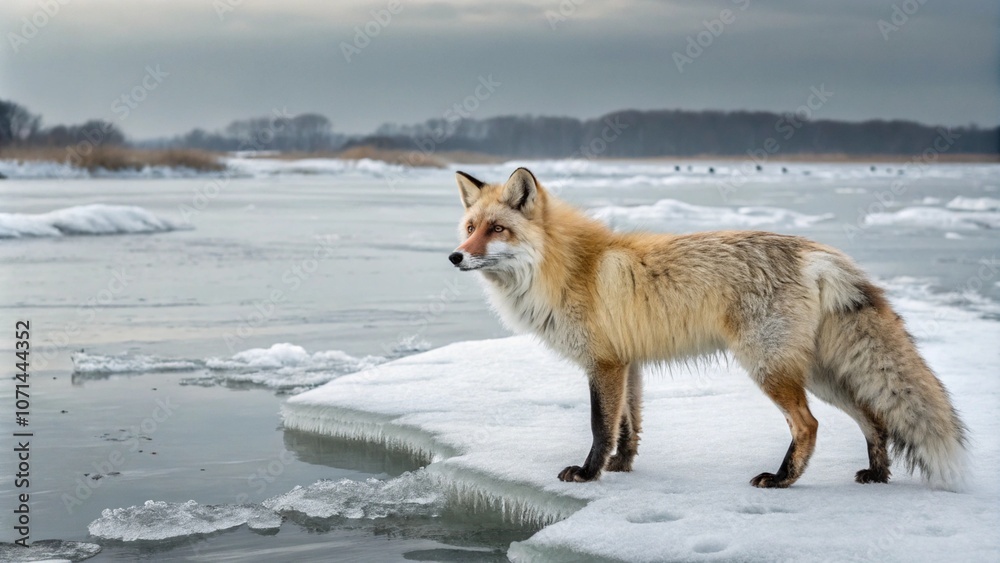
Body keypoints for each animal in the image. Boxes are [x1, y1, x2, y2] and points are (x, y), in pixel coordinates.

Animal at [447, 167, 968, 490]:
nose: (454, 256)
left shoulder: (604, 363)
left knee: (809, 424)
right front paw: (622, 468)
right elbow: (628, 427)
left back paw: (782, 480)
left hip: (769, 368)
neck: (571, 267)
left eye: (497, 230)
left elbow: (600, 426)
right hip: (819, 373)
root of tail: (816, 251)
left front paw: (590, 474)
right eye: (470, 227)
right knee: (874, 418)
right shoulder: (628, 363)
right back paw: (876, 476)